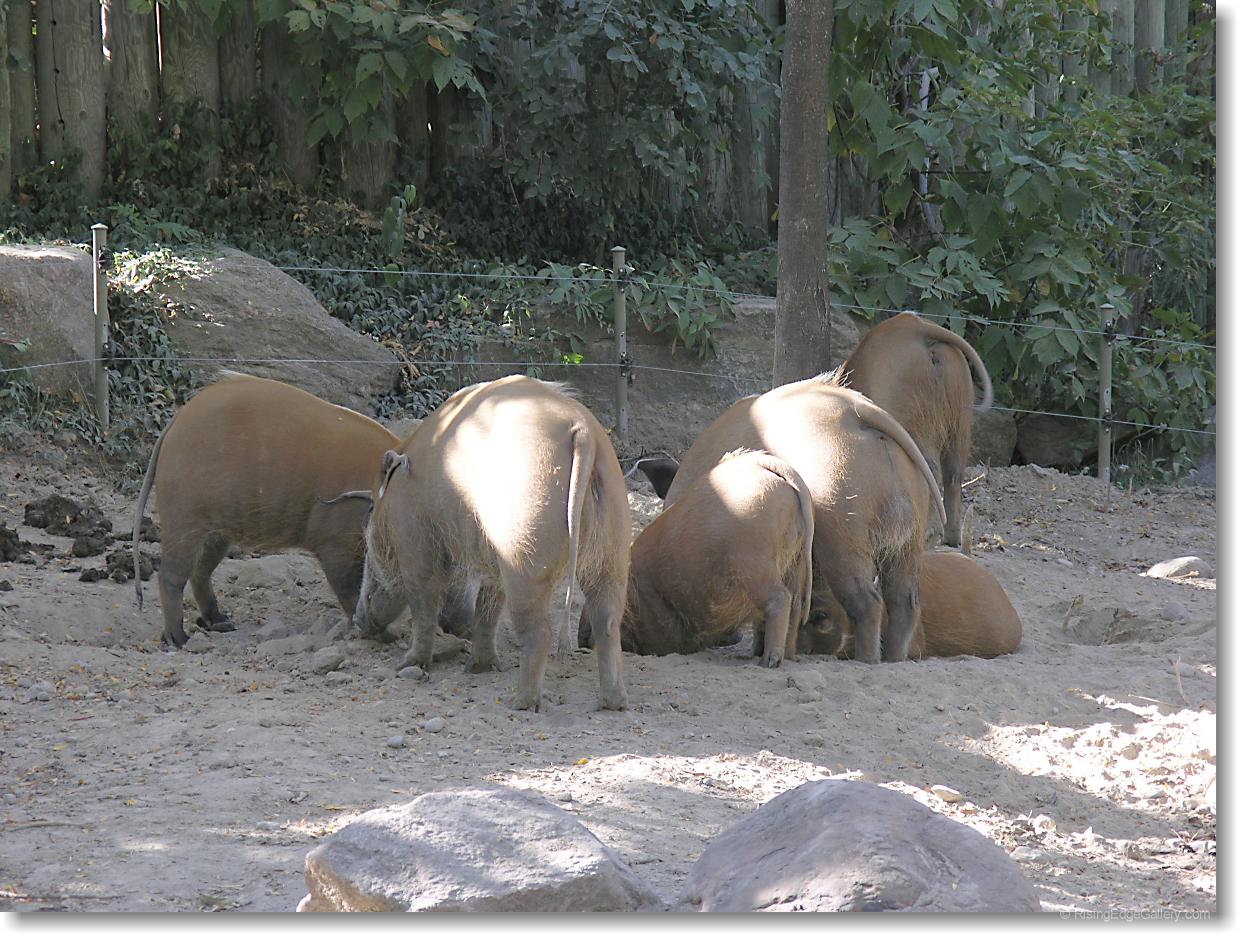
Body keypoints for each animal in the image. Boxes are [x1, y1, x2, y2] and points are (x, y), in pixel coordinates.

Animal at [133, 373, 404, 648]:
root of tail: (176, 421)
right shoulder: (336, 544)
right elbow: (351, 590)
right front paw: (380, 635)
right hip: (183, 519)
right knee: (170, 576)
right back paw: (178, 638)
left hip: (217, 530)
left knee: (199, 571)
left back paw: (220, 621)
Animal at [353, 375, 631, 712]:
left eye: (371, 508)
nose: (357, 622)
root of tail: (583, 431)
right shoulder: (494, 563)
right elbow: (487, 609)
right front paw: (478, 668)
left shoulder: (416, 546)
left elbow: (424, 607)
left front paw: (407, 665)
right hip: (611, 551)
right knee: (608, 623)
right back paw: (613, 703)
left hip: (526, 557)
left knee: (540, 633)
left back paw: (519, 703)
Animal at [614, 450, 813, 668]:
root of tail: (764, 462)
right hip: (794, 562)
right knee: (795, 607)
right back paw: (784, 657)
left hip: (754, 564)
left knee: (780, 599)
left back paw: (768, 662)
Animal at [664, 376, 944, 663]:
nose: (728, 639)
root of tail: (857, 411)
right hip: (906, 542)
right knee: (905, 603)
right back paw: (892, 659)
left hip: (841, 538)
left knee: (869, 603)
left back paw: (866, 660)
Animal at [835, 312, 992, 547]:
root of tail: (919, 329)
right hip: (960, 413)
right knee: (953, 472)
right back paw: (951, 538)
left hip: (914, 416)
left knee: (931, 468)